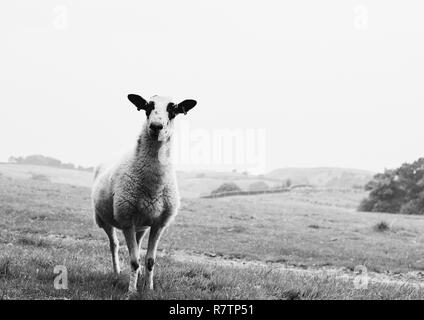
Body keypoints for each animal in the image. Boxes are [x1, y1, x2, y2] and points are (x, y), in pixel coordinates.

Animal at [91, 93, 197, 296]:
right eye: (147, 107)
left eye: (173, 110)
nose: (156, 126)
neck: (153, 185)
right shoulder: (126, 220)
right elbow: (133, 261)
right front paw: (132, 291)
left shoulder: (159, 224)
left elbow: (149, 260)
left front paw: (149, 288)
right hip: (105, 218)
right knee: (114, 245)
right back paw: (117, 274)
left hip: (140, 225)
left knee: (138, 246)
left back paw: (138, 276)